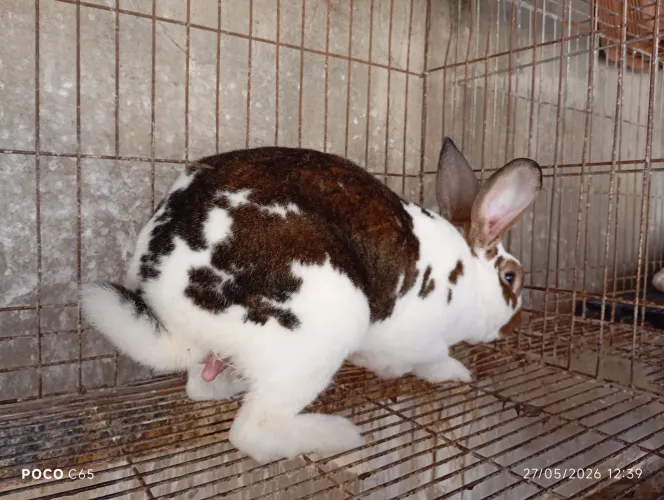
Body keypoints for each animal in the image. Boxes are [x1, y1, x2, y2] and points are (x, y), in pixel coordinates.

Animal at [80, 138, 542, 463]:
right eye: (511, 277)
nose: (518, 324)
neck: (465, 278)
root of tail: (175, 320)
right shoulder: (419, 344)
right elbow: (433, 362)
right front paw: (458, 373)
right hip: (317, 338)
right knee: (252, 431)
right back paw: (339, 434)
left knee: (201, 389)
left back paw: (232, 383)